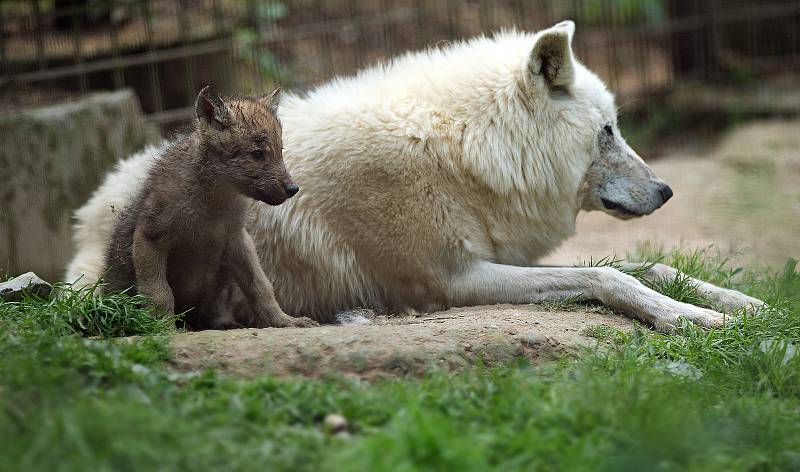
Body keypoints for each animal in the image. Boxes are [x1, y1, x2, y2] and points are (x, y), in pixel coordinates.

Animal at [65, 22, 760, 332]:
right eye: (608, 132)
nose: (667, 191)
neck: (462, 148)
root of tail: (83, 215)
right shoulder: (452, 282)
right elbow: (608, 278)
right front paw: (695, 320)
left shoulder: (492, 258)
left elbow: (647, 266)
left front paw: (740, 302)